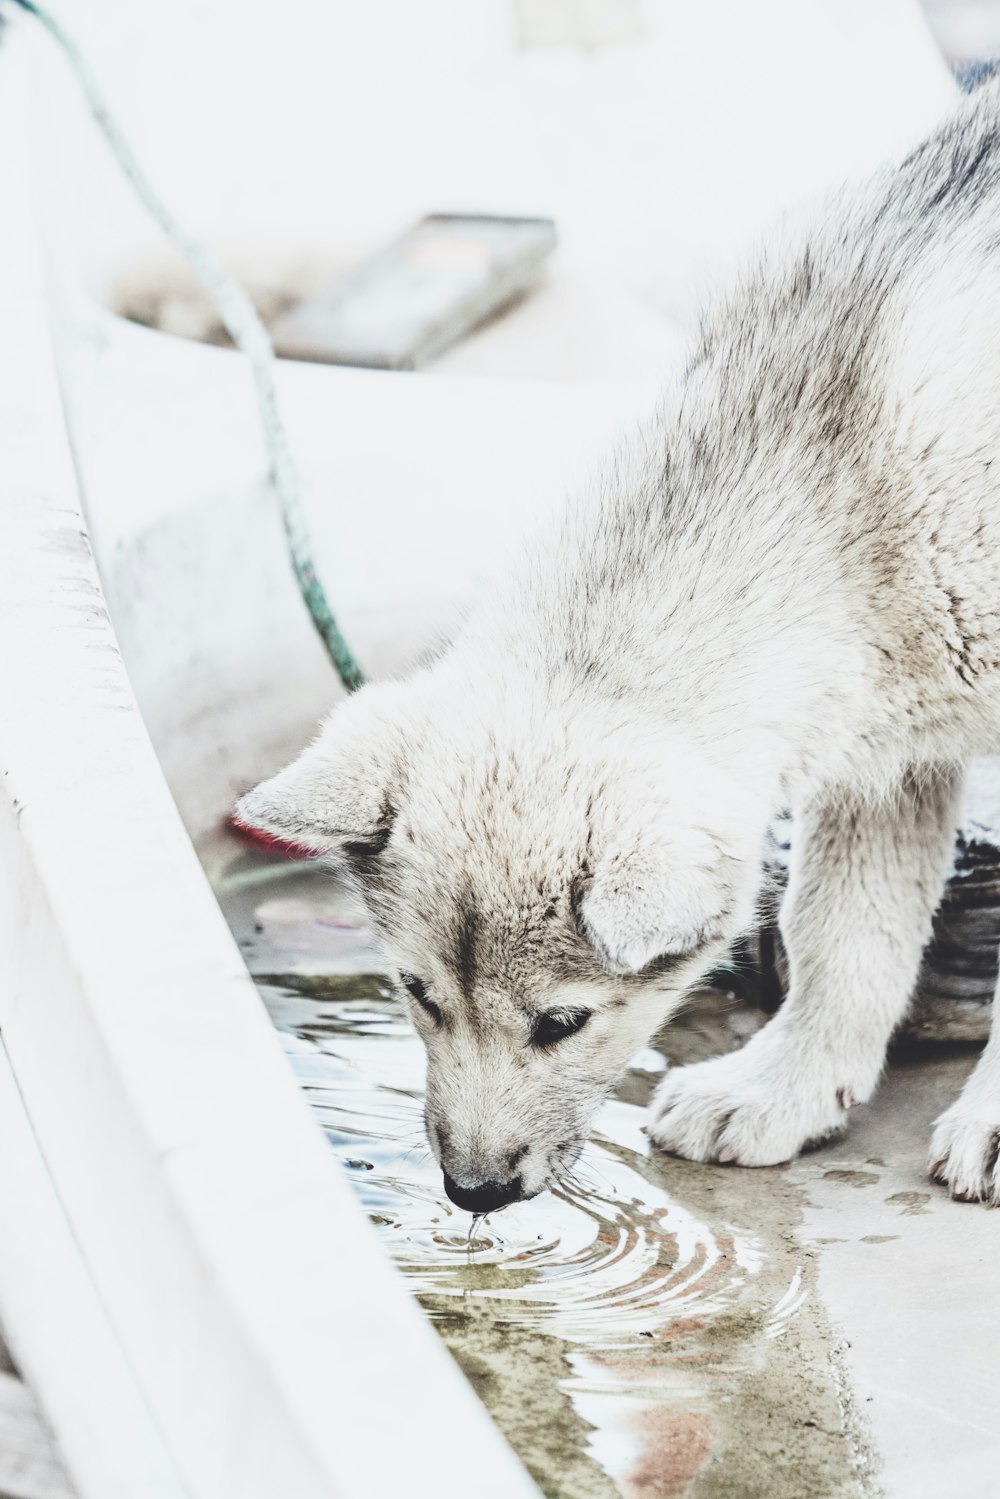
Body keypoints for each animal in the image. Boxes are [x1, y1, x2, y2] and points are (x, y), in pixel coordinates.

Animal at [239, 79, 1000, 1205]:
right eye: (416, 991)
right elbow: (842, 929)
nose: (472, 1194)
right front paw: (784, 1087)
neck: (840, 481)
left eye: (563, 1020)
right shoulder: (885, 742)